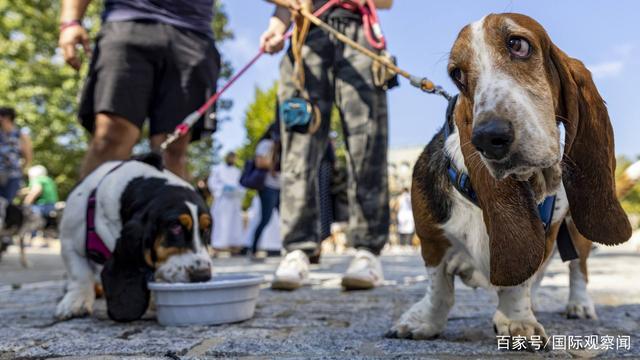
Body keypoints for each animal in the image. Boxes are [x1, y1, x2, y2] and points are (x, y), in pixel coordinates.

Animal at [55, 153, 212, 322]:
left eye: (206, 229)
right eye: (175, 226)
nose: (204, 275)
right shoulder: (69, 241)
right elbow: (79, 274)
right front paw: (75, 302)